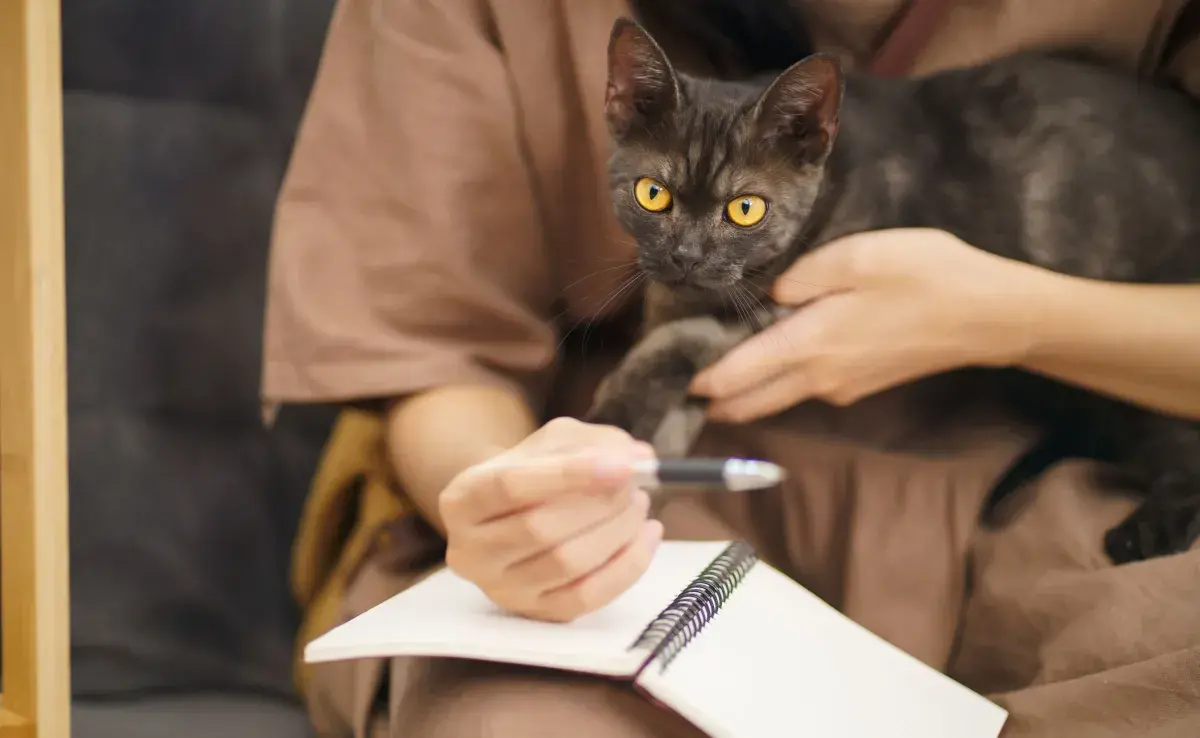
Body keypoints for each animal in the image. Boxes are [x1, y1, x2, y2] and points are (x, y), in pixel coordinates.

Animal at [585, 18, 1200, 566]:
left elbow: (683, 341)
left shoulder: (799, 302)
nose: (686, 256)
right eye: (652, 194)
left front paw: (608, 421)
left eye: (746, 209)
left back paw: (1149, 531)